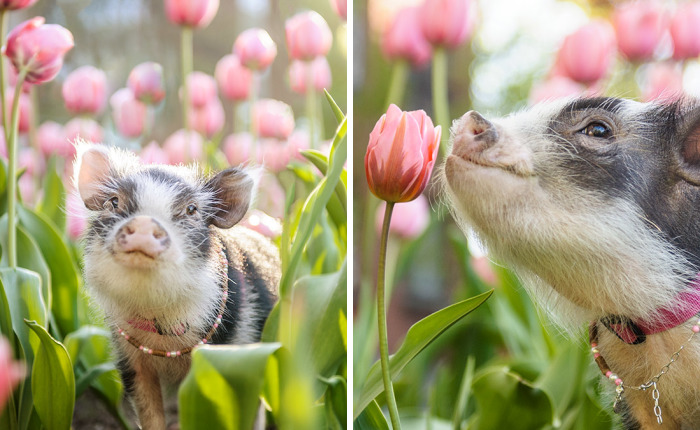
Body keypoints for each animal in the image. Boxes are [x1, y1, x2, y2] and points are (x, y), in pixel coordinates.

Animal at [74, 144, 280, 429]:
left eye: (192, 209)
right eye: (114, 202)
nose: (145, 222)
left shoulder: (236, 352)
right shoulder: (130, 359)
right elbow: (150, 413)